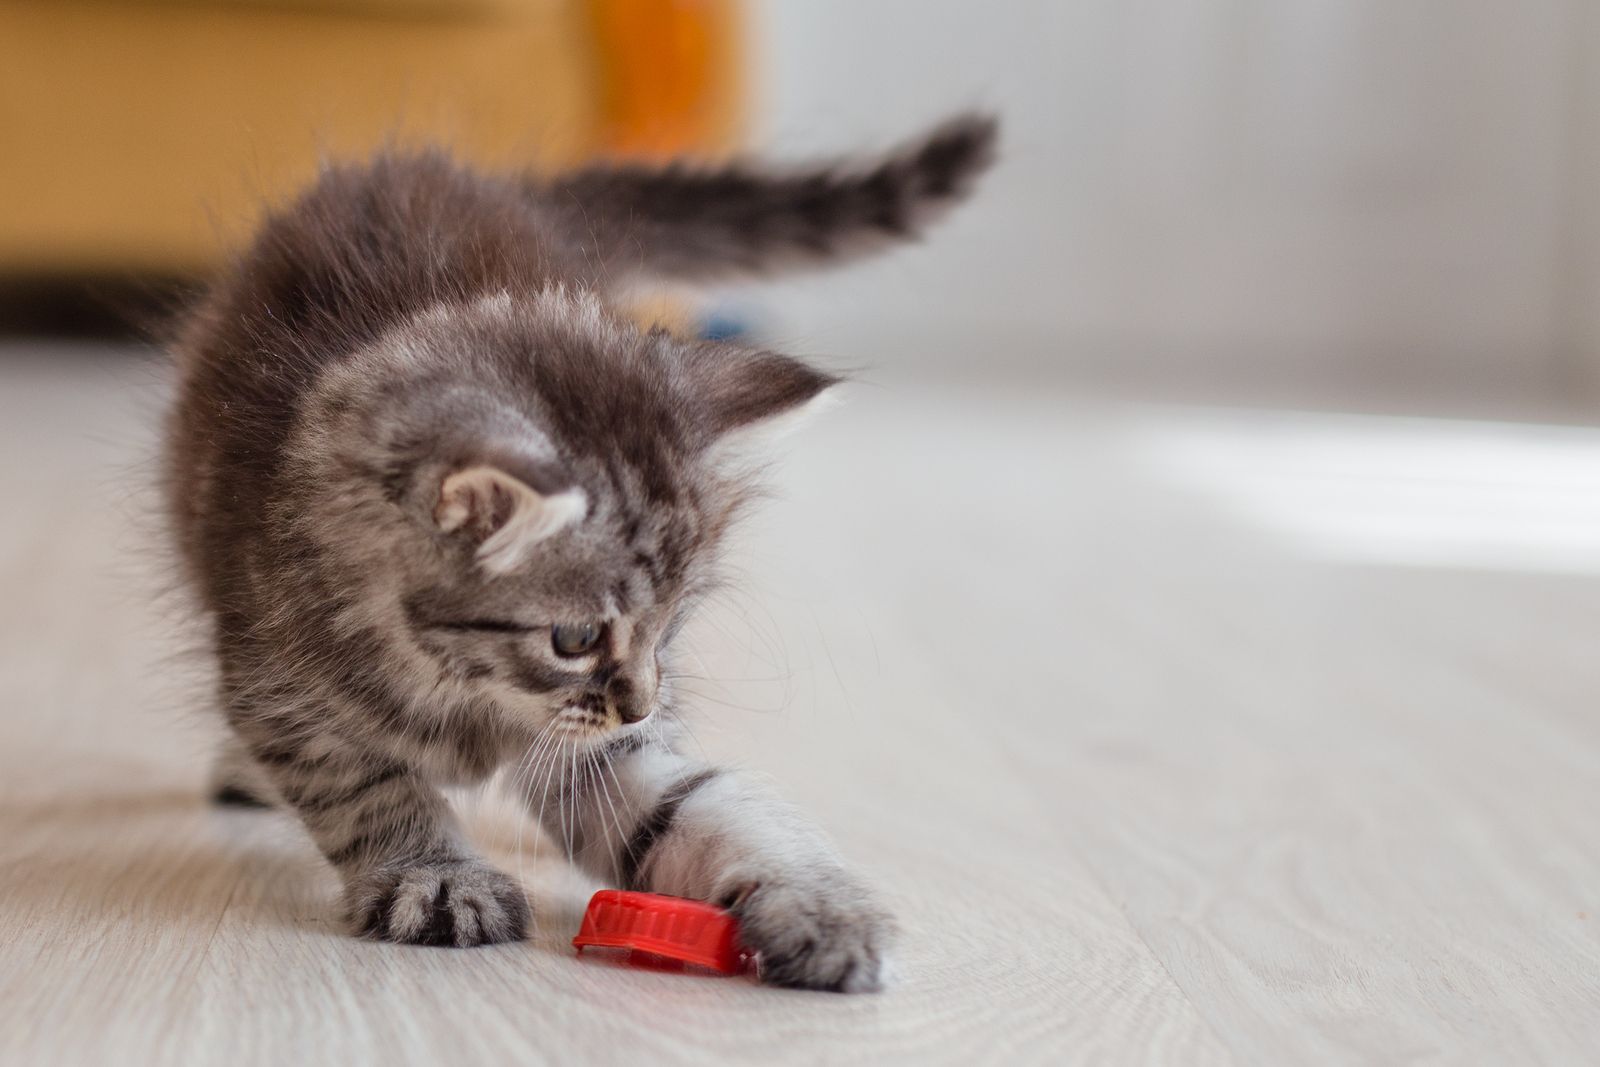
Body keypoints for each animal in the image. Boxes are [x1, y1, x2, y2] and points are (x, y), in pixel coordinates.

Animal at [172, 112, 998, 991]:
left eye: (672, 626)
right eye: (575, 637)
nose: (640, 704)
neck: (467, 691)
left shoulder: (599, 756)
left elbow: (703, 806)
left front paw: (818, 905)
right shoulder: (283, 685)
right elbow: (371, 789)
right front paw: (438, 876)